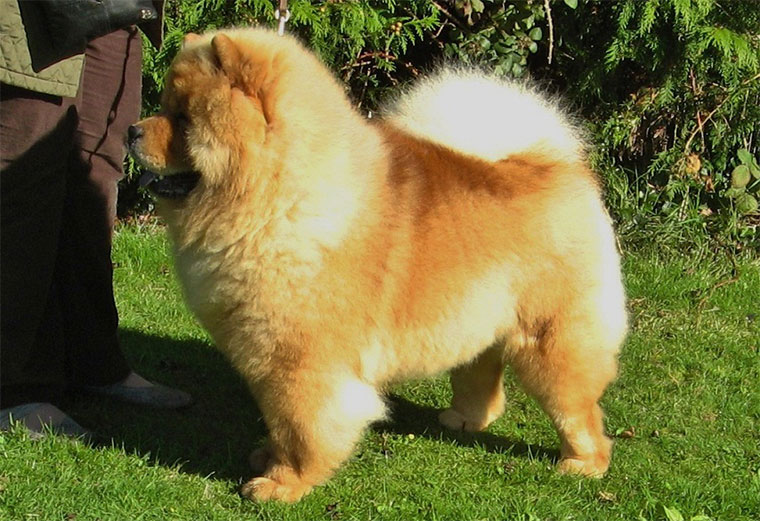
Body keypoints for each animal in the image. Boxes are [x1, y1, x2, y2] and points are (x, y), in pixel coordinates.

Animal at [129, 27, 628, 500]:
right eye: (166, 106)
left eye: (183, 119)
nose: (133, 129)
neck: (279, 197)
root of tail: (553, 164)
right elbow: (280, 424)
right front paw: (267, 457)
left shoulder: (301, 364)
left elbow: (299, 427)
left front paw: (282, 483)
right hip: (482, 317)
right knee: (482, 372)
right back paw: (465, 419)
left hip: (552, 337)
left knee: (578, 406)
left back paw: (583, 464)